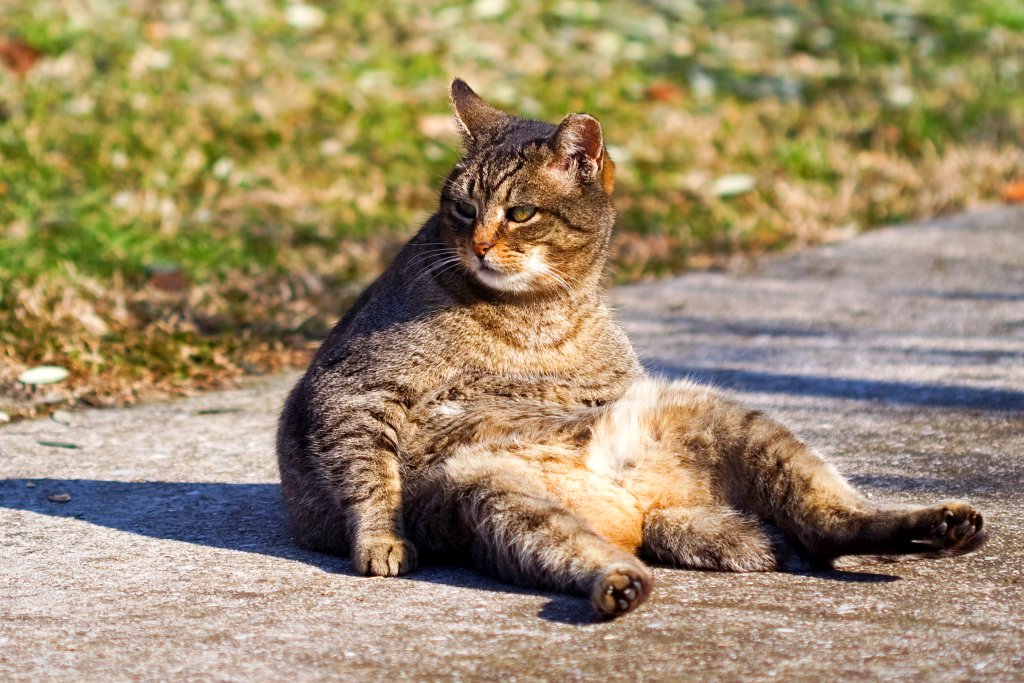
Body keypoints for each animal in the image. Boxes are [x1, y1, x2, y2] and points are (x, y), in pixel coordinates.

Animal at [276, 80, 987, 618]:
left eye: (519, 214)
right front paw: (381, 541)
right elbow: (369, 475)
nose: (476, 245)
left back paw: (936, 528)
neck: (537, 313)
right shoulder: (353, 390)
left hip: (732, 420)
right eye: (460, 209)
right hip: (499, 502)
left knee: (829, 522)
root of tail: (641, 514)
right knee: (596, 556)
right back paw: (617, 585)